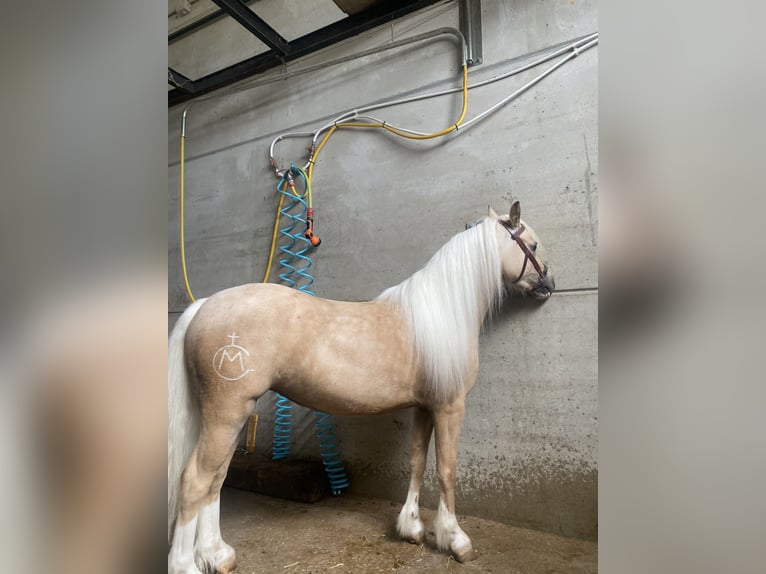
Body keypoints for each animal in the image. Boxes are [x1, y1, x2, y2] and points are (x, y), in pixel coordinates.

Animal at [168, 201, 555, 574]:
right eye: (533, 245)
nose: (549, 284)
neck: (442, 313)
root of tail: (206, 304)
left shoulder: (424, 406)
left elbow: (417, 462)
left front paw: (411, 528)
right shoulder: (449, 406)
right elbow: (447, 470)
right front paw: (456, 540)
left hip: (232, 416)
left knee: (216, 479)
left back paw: (217, 555)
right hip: (227, 413)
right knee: (195, 480)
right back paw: (187, 564)